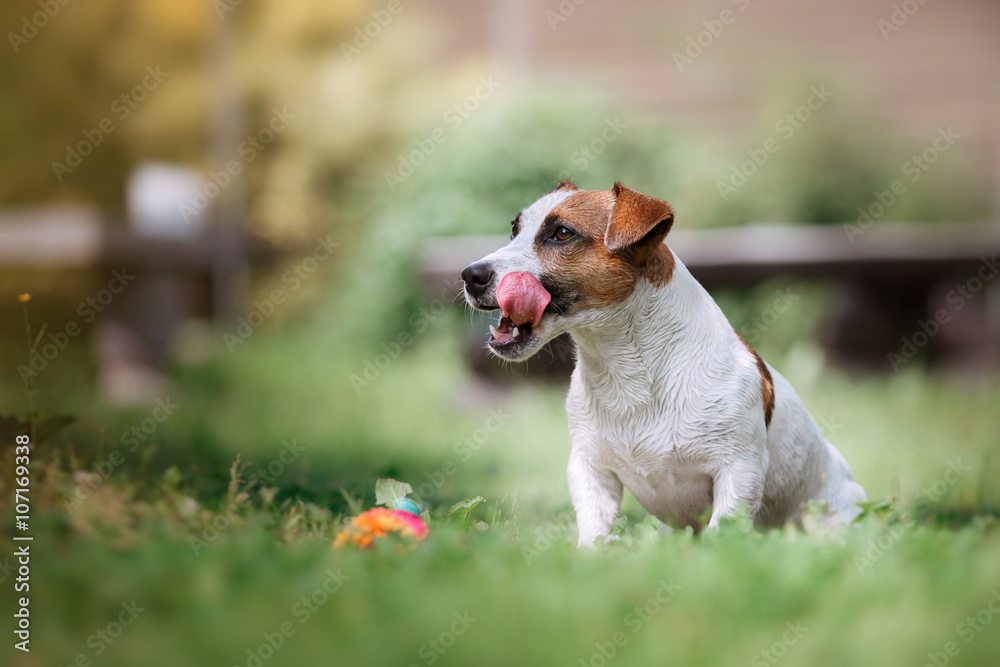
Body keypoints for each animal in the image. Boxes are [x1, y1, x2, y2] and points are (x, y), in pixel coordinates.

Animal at [460, 180, 868, 544]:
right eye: (514, 230)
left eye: (561, 233)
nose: (470, 274)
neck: (629, 367)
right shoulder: (590, 468)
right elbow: (593, 532)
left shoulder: (739, 470)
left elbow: (723, 533)